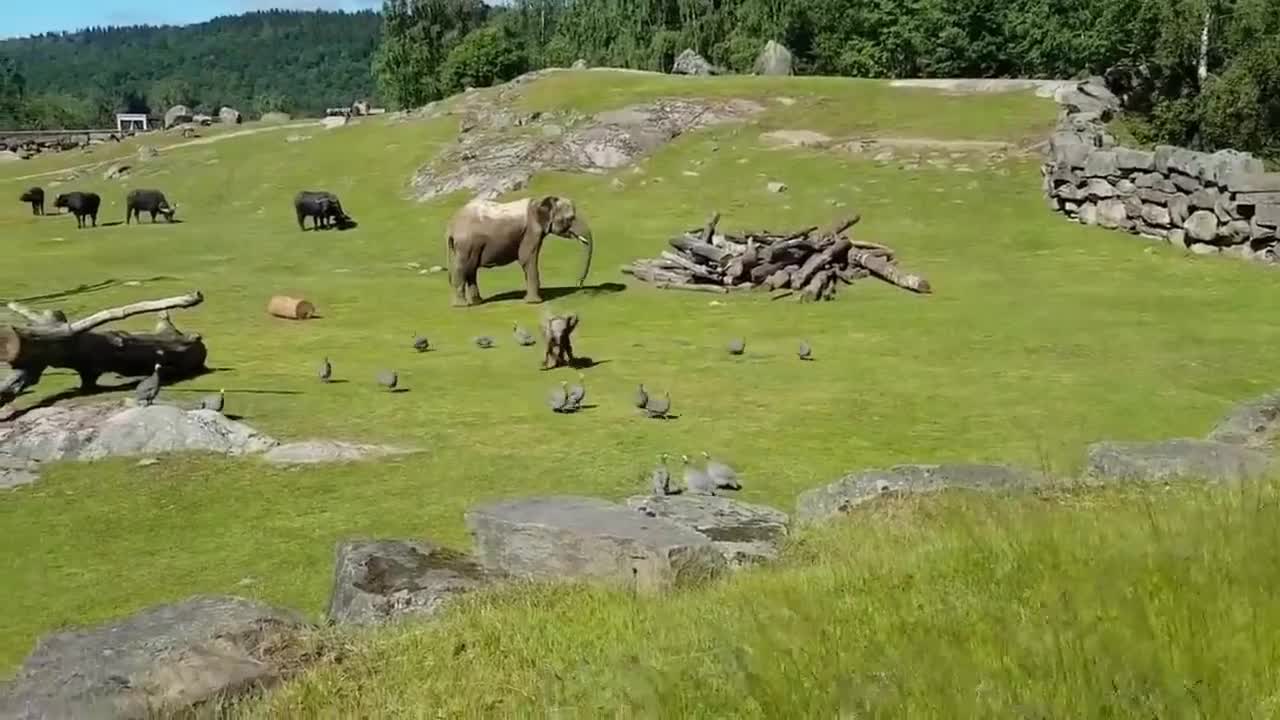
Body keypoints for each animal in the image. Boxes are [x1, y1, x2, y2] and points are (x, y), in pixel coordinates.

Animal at [448, 194, 591, 303]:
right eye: (570, 218)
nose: (579, 283)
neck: (539, 202)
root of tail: (452, 227)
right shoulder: (531, 231)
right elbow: (527, 259)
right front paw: (534, 302)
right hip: (466, 244)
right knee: (463, 268)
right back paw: (462, 305)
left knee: (471, 270)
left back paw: (477, 302)